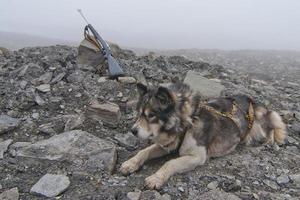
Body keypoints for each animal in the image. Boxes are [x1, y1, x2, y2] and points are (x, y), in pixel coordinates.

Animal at [119, 81, 286, 189]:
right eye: (139, 113)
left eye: (151, 115)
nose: (132, 130)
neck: (188, 122)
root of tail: (252, 101)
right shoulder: (168, 144)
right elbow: (144, 151)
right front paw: (130, 163)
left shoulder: (197, 157)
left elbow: (170, 163)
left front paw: (156, 178)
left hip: (259, 126)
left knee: (271, 128)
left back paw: (269, 141)